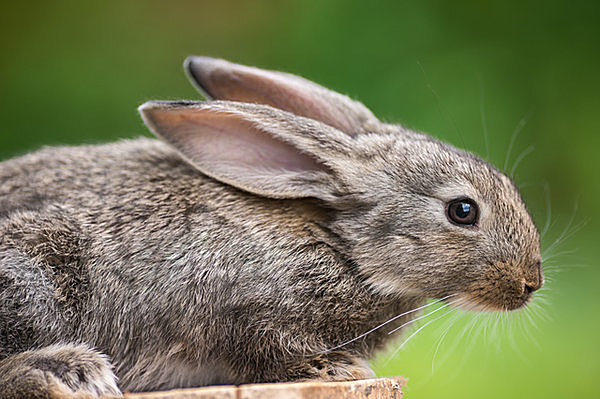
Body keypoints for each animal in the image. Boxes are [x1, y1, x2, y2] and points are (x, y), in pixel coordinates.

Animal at [0, 57, 544, 398]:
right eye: (463, 211)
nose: (530, 283)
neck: (342, 246)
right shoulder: (238, 310)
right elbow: (268, 351)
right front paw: (336, 369)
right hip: (38, 272)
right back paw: (69, 371)